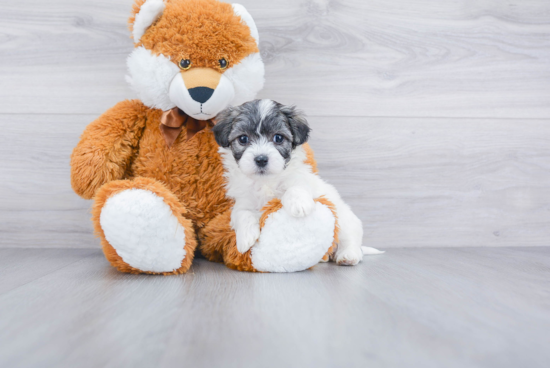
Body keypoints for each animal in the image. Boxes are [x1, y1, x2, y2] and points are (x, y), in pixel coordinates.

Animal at [213, 98, 374, 264]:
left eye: (278, 138)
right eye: (243, 139)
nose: (261, 159)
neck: (266, 182)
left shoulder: (302, 180)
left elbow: (296, 186)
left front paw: (299, 205)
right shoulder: (244, 199)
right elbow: (241, 213)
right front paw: (245, 238)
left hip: (345, 221)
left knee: (350, 239)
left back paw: (348, 255)